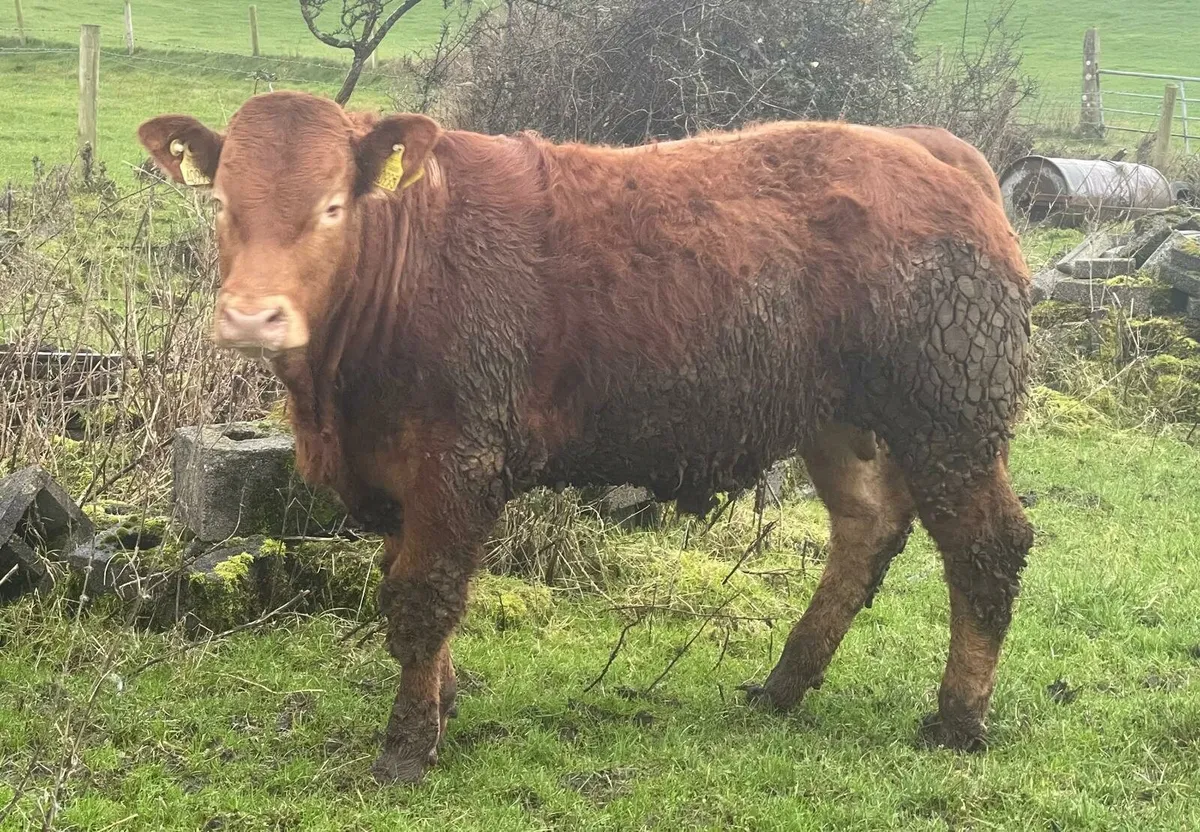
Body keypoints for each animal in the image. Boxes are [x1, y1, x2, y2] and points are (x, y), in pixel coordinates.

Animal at [139, 91, 1034, 784]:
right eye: (222, 203)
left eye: (332, 205)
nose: (253, 315)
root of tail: (923, 145)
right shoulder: (394, 469)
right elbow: (410, 588)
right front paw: (443, 700)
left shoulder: (458, 458)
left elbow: (424, 598)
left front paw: (407, 746)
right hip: (839, 417)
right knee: (867, 525)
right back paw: (785, 682)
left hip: (949, 412)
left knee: (989, 543)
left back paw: (957, 719)